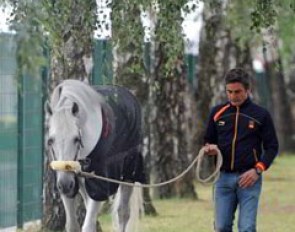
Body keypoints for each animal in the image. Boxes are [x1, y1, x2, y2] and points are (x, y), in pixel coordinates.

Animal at [45, 80, 146, 232]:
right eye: (50, 140)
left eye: (76, 139)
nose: (65, 184)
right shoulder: (69, 190)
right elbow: (72, 225)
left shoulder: (99, 186)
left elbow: (87, 226)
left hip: (128, 175)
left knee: (123, 213)